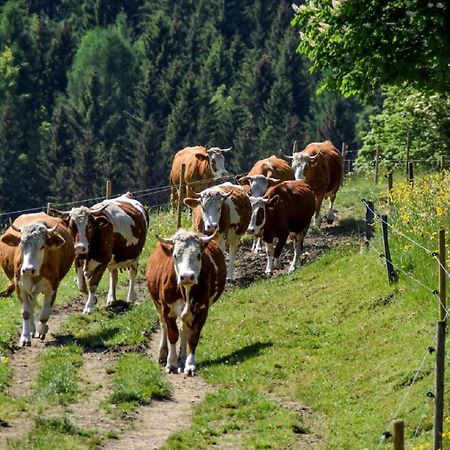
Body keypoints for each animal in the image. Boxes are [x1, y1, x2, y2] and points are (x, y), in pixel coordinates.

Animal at [0, 213, 74, 346]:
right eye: (21, 245)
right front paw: (25, 337)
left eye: (42, 246)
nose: (28, 269)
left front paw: (42, 330)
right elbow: (26, 313)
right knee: (32, 305)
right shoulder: (20, 287)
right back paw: (31, 329)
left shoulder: (53, 287)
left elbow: (44, 313)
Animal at [146, 229, 227, 376]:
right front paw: (171, 363)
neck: (186, 291)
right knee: (163, 325)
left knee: (184, 329)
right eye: (175, 255)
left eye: (199, 255)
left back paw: (182, 357)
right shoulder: (168, 309)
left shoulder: (202, 310)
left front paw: (190, 364)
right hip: (157, 304)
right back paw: (163, 353)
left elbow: (193, 337)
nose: (187, 276)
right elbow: (172, 334)